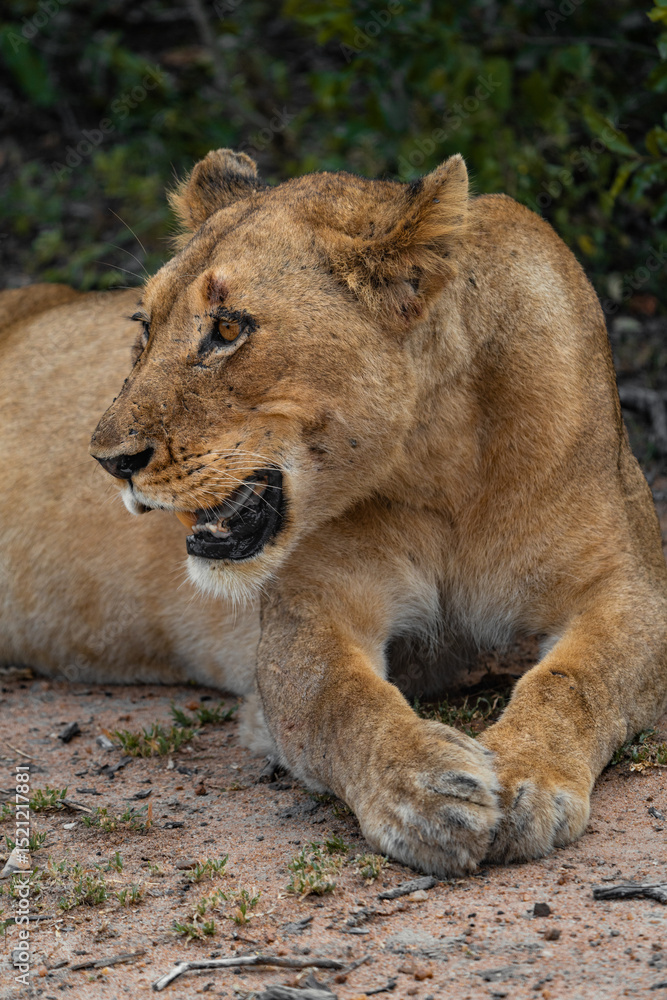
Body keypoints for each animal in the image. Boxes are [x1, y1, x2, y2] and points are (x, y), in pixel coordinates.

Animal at [4, 148, 666, 879]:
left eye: (227, 329)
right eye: (144, 327)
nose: (108, 460)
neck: (439, 470)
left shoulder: (627, 589)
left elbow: (576, 679)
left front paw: (527, 777)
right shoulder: (306, 618)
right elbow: (341, 700)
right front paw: (425, 789)